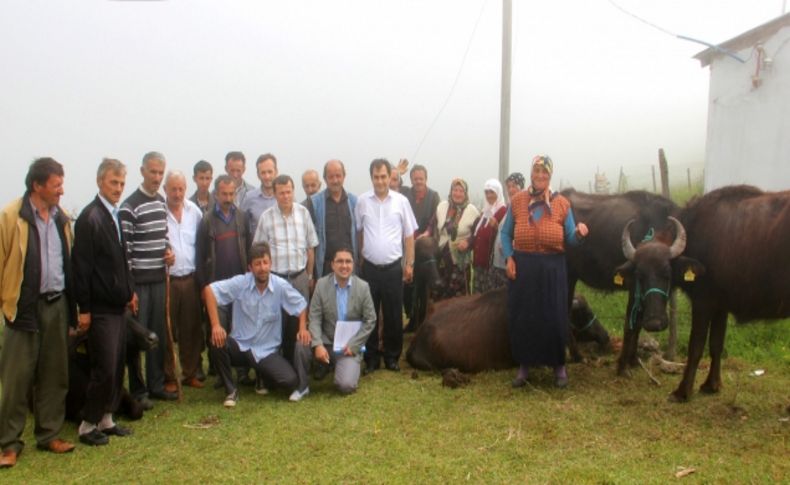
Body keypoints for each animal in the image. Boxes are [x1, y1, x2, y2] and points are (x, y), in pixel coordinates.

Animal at [620, 185, 790, 400]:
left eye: (667, 272)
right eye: (639, 275)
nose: (654, 323)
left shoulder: (703, 302)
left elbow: (696, 345)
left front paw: (682, 391)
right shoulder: (721, 305)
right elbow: (716, 344)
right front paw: (711, 384)